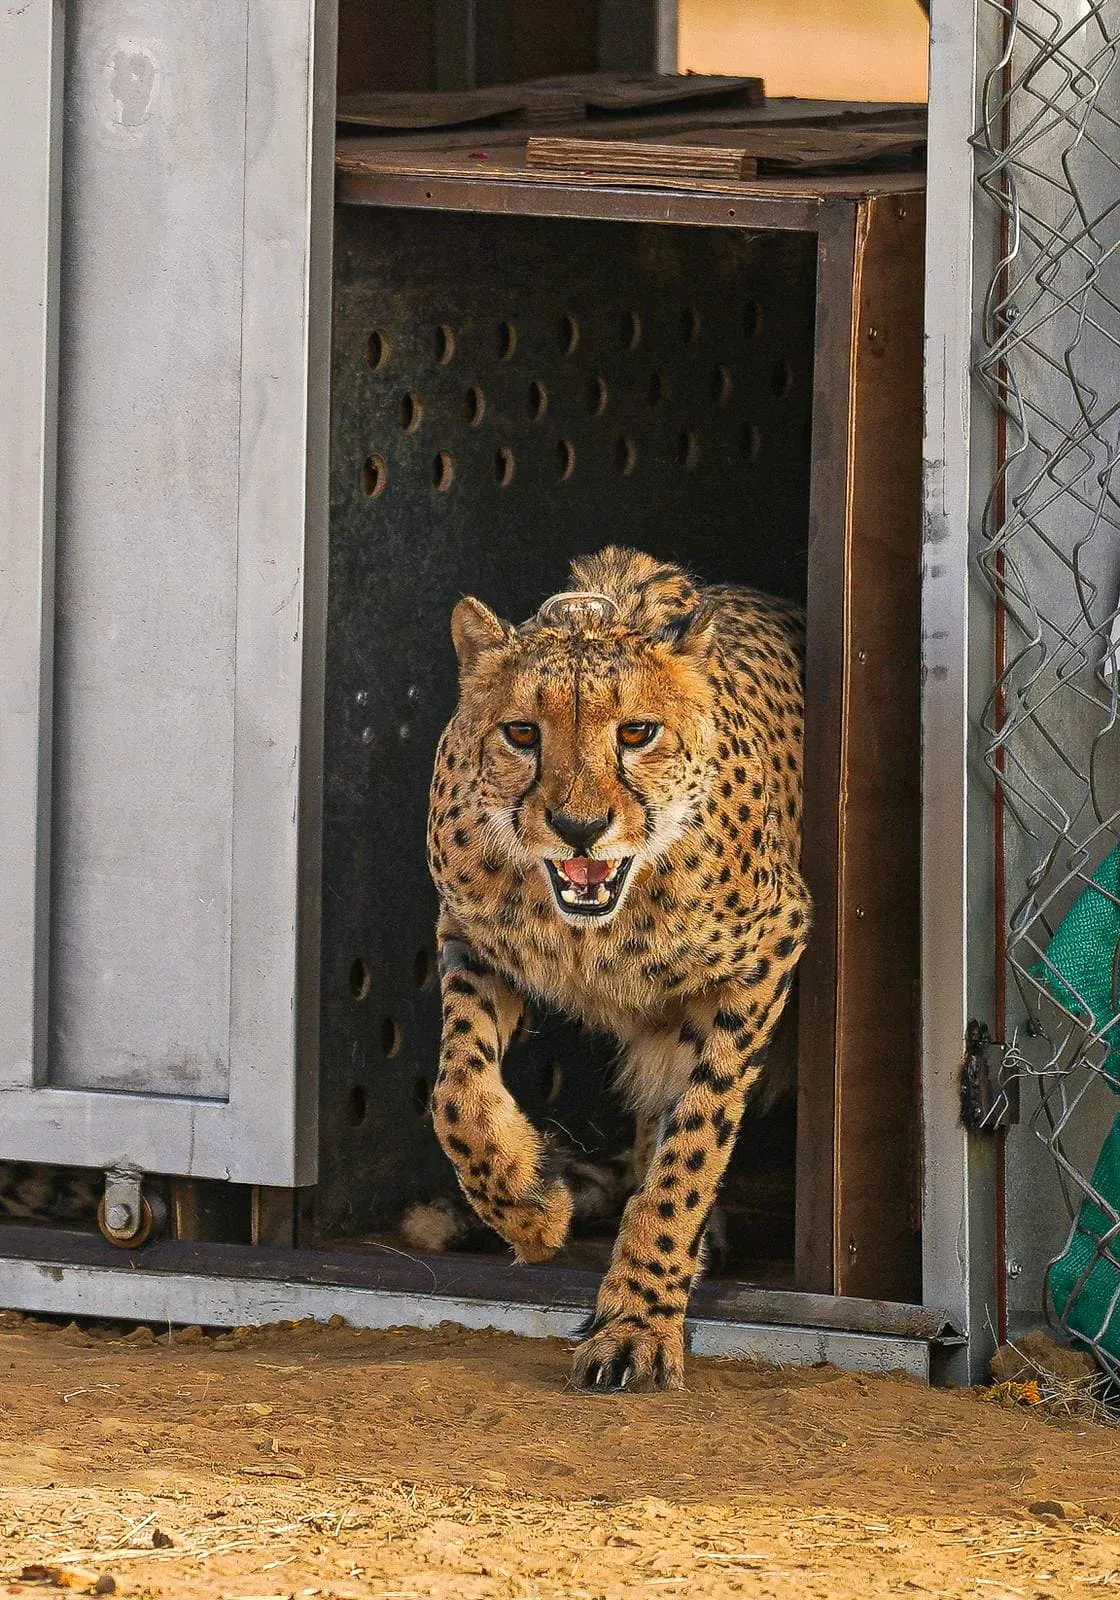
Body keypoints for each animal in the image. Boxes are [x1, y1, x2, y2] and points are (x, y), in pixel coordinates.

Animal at [426, 545, 810, 1392]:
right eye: (521, 732)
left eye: (637, 731)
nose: (579, 825)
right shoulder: (472, 938)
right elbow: (457, 1093)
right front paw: (532, 1207)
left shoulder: (768, 953)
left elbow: (693, 1148)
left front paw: (639, 1316)